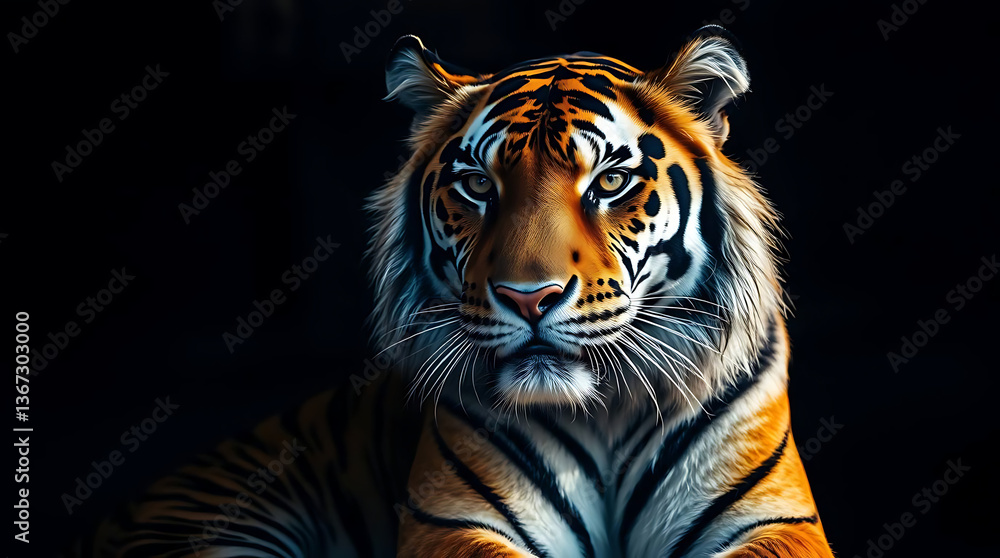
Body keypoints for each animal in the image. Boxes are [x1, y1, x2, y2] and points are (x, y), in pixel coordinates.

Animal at [69, 26, 834, 558]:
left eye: (610, 182)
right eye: (476, 185)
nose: (528, 297)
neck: (604, 415)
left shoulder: (775, 519)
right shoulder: (453, 519)